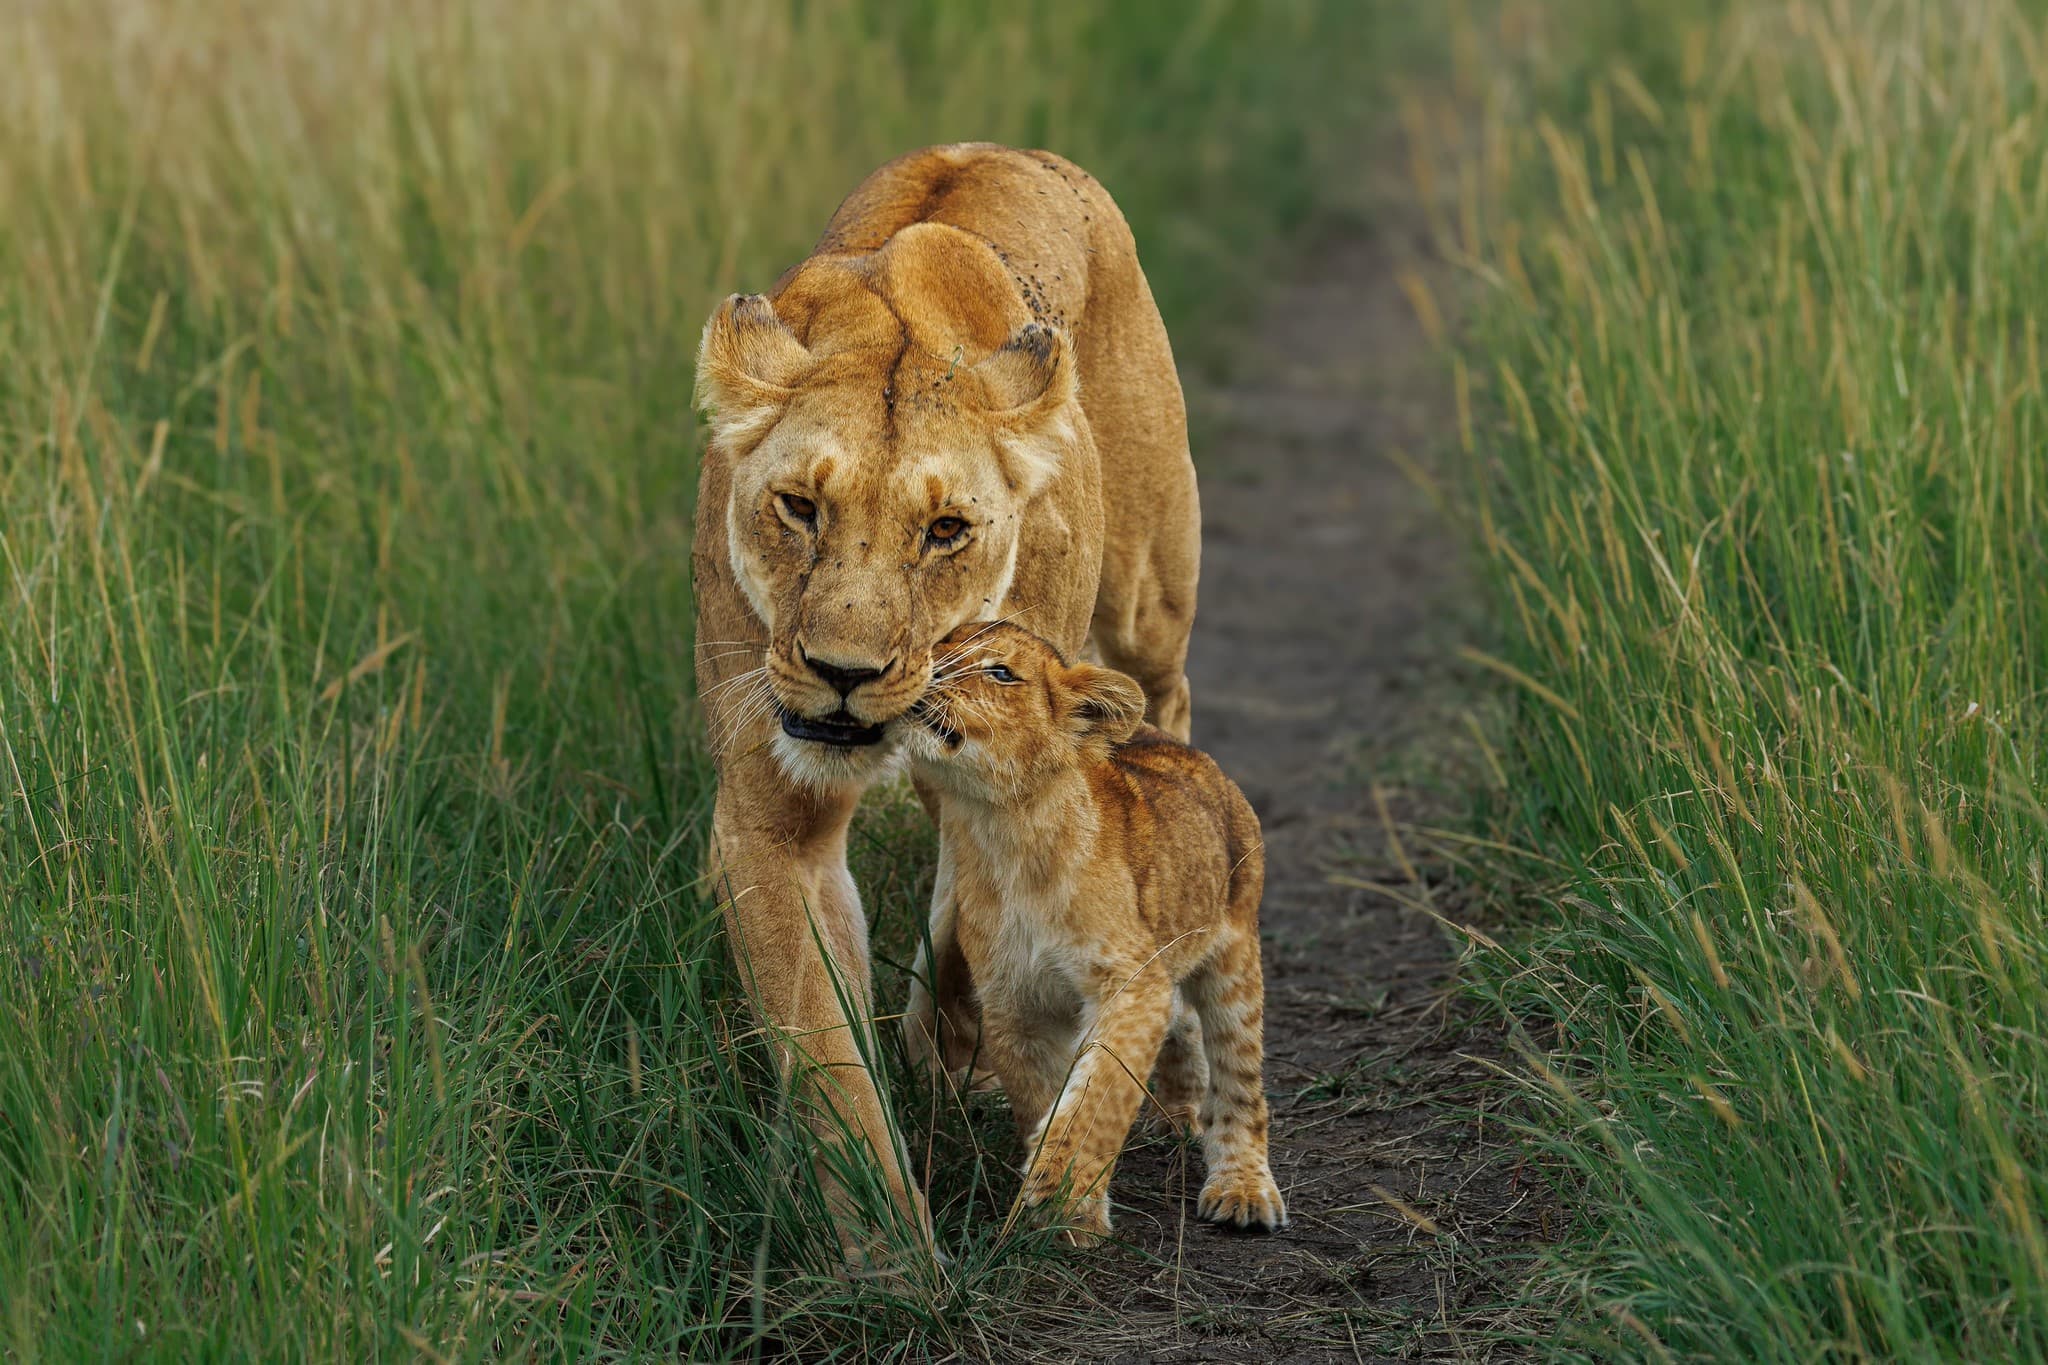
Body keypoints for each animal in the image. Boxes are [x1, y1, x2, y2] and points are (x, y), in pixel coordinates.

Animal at [691, 144, 1201, 1253]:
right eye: (800, 507)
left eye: (945, 530)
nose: (842, 672)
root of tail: (1004, 149)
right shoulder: (768, 816)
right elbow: (827, 1054)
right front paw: (890, 1257)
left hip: (1147, 600)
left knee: (1164, 707)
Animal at [902, 621, 1285, 1244]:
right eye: (940, 643)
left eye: (1000, 672)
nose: (920, 667)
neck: (1001, 830)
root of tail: (1175, 745)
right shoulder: (1014, 1004)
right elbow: (1046, 1097)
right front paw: (1062, 1208)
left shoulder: (1130, 981)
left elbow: (1096, 1097)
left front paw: (1061, 1202)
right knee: (1182, 1020)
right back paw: (1178, 1111)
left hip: (1233, 956)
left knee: (1240, 1081)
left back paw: (1242, 1189)